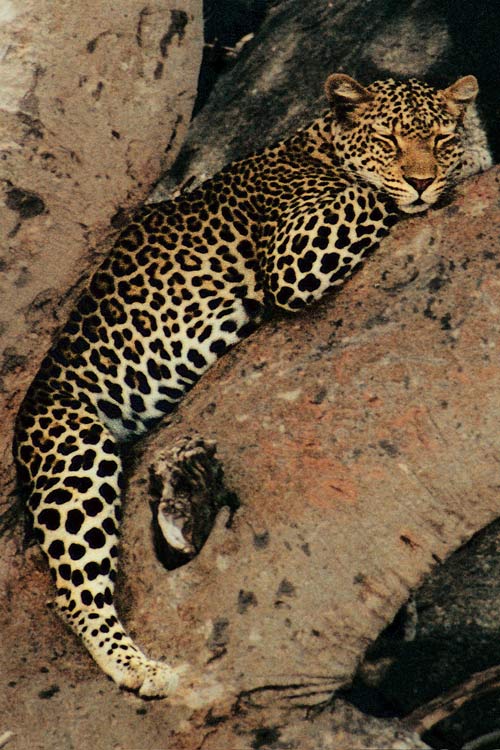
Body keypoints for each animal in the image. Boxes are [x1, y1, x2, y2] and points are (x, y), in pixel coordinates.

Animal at [13, 73, 492, 698]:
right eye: (389, 140)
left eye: (438, 139)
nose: (422, 178)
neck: (318, 144)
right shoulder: (296, 252)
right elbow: (371, 193)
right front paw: (473, 158)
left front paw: (469, 150)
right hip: (72, 447)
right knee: (74, 590)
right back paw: (139, 665)